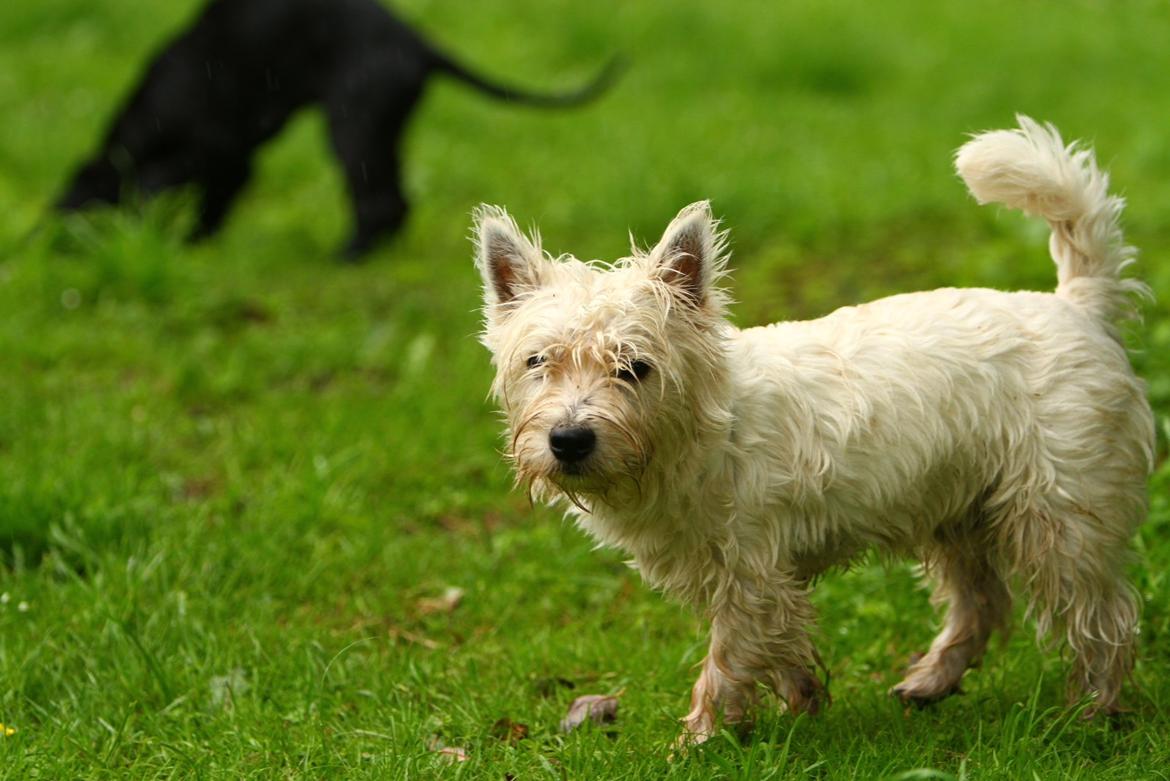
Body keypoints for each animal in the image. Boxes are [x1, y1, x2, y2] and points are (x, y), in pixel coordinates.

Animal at [57, 0, 622, 259]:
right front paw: (200, 241)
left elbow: (181, 190)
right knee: (394, 200)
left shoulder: (214, 151)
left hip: (351, 127)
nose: (50, 241)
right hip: (377, 129)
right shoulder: (234, 160)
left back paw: (346, 257)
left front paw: (188, 241)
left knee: (380, 201)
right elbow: (212, 199)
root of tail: (420, 44)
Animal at [472, 117, 1151, 743]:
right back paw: (932, 682)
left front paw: (699, 739)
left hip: (1061, 519)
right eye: (538, 361)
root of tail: (1077, 306)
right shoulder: (754, 577)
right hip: (960, 514)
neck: (703, 436)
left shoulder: (749, 572)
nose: (569, 441)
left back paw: (1094, 712)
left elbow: (726, 661)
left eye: (634, 367)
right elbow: (779, 646)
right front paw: (802, 701)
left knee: (1104, 617)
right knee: (982, 604)